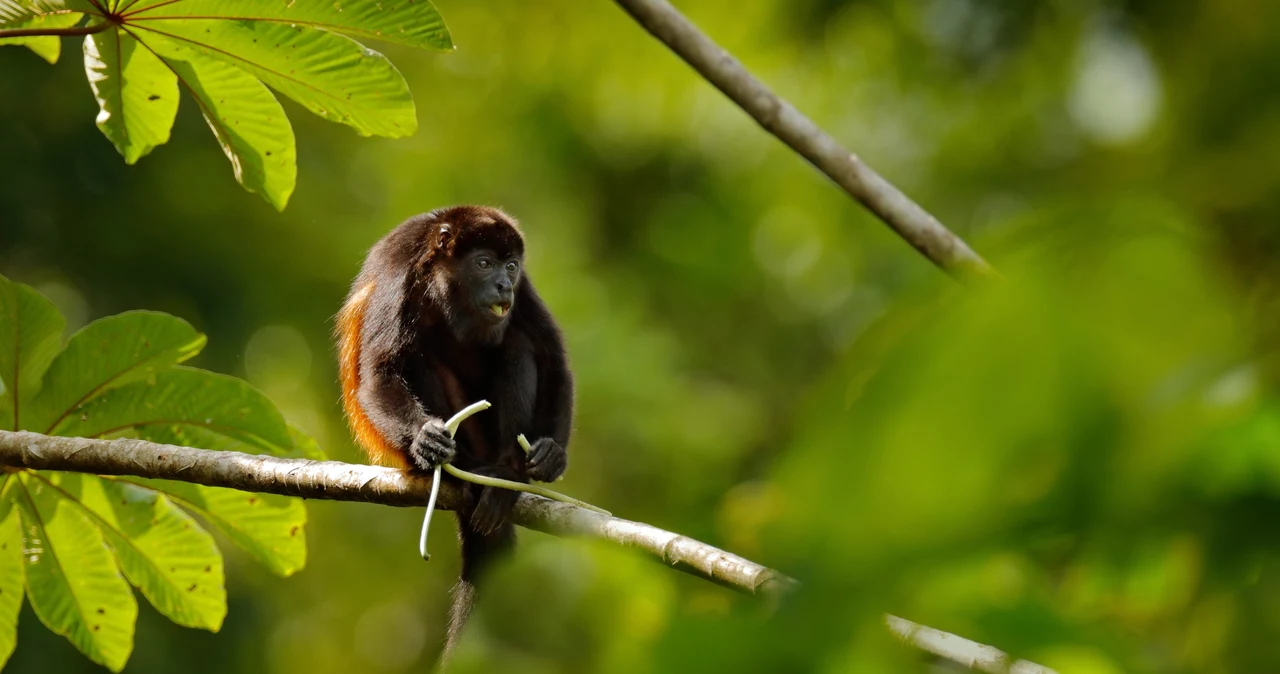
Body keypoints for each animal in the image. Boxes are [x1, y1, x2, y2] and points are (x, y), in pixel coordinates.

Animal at [332, 207, 573, 659]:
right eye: (483, 263)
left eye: (511, 266)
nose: (503, 285)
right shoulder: (399, 277)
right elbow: (380, 374)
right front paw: (423, 440)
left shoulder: (525, 291)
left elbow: (554, 360)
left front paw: (553, 454)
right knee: (417, 353)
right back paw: (458, 467)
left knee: (518, 343)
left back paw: (505, 476)